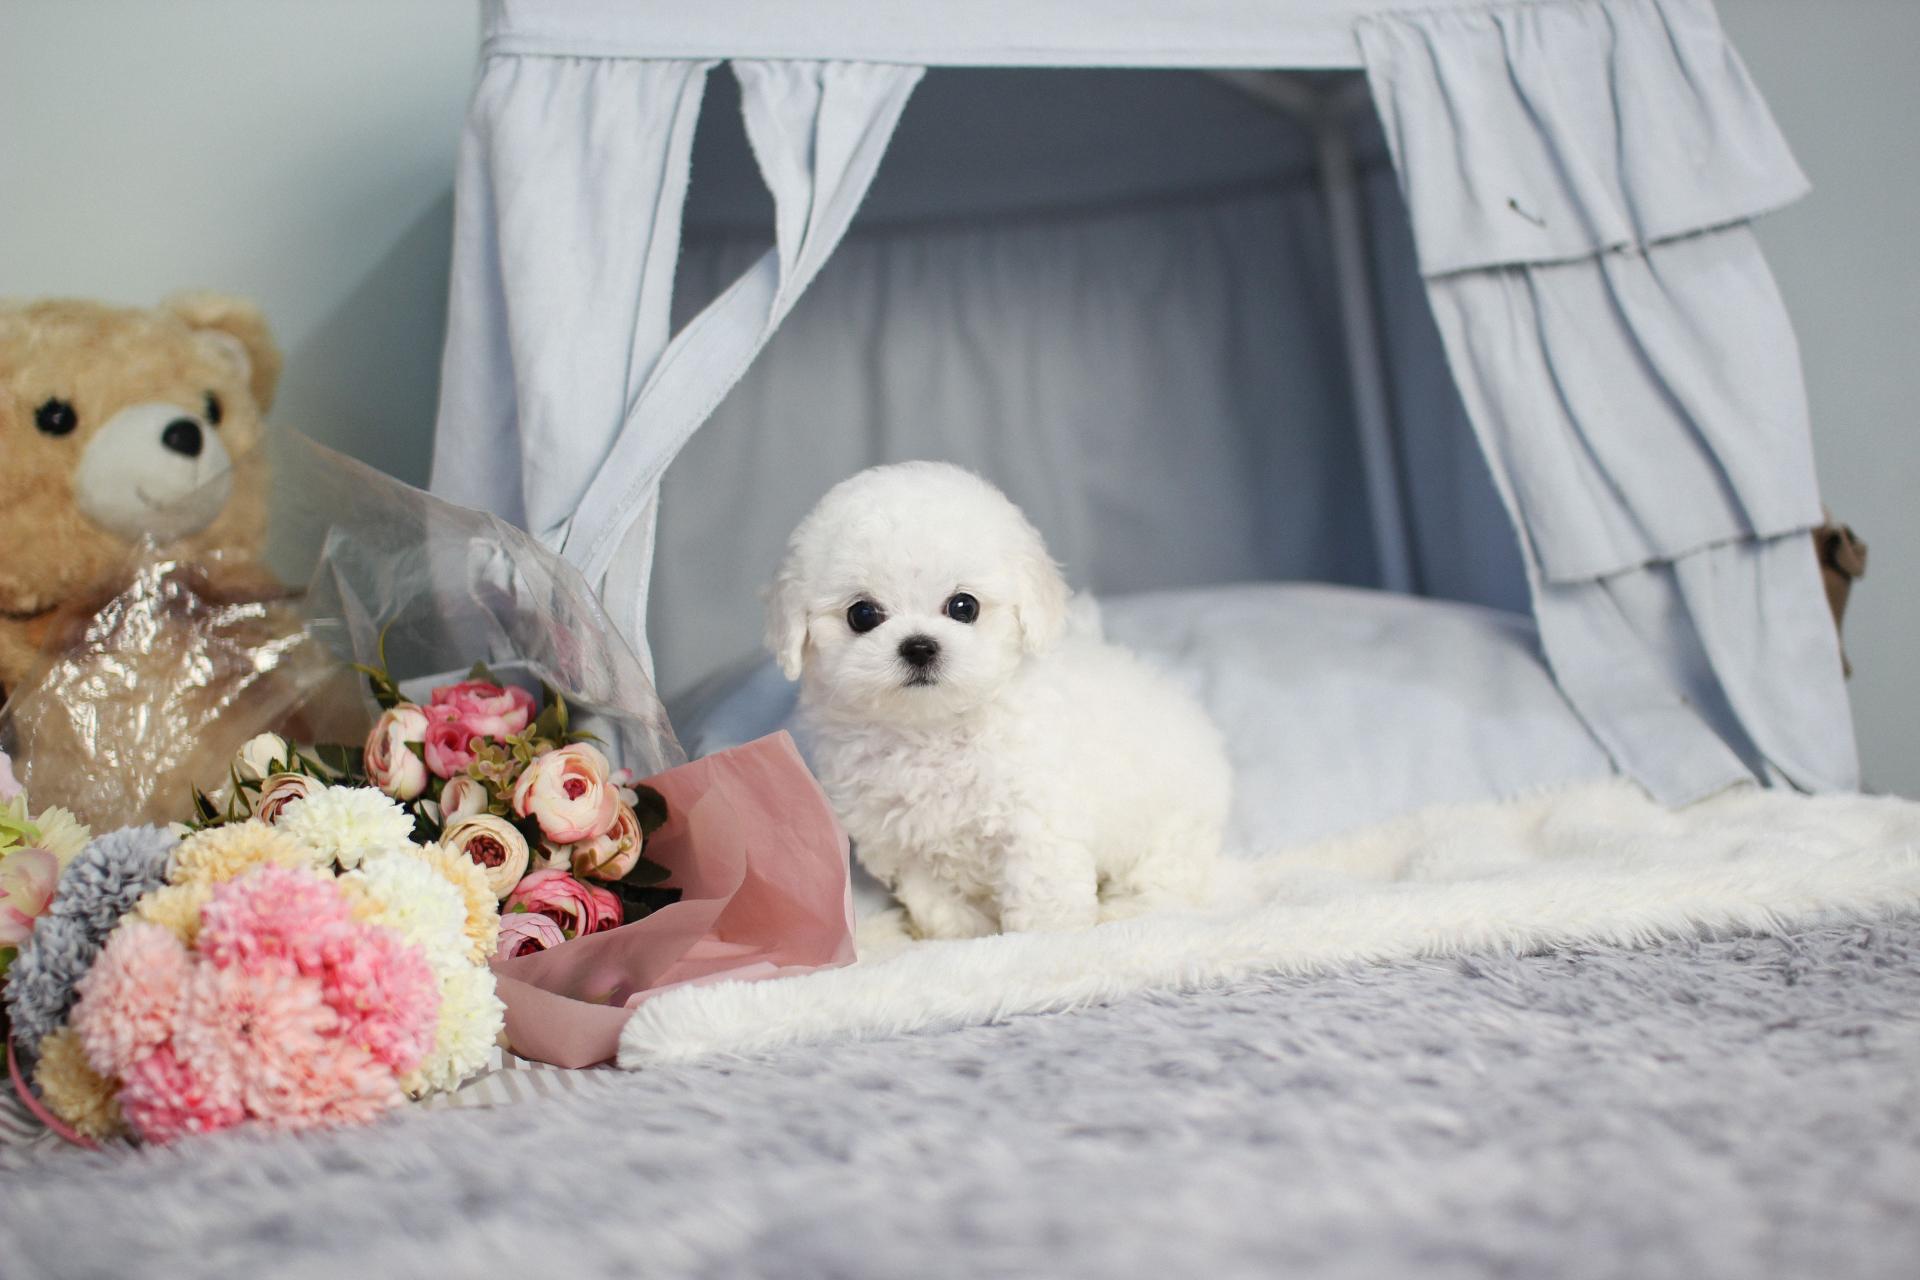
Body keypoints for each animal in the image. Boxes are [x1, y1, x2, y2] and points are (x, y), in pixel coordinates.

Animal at [767, 461, 1229, 939]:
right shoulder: (905, 842)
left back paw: (1123, 911)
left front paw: (1045, 940)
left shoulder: (1036, 822)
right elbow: (939, 902)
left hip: (1172, 828)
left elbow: (1044, 897)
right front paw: (961, 934)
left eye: (963, 606)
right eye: (862, 615)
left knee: (1165, 882)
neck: (931, 731)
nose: (919, 646)